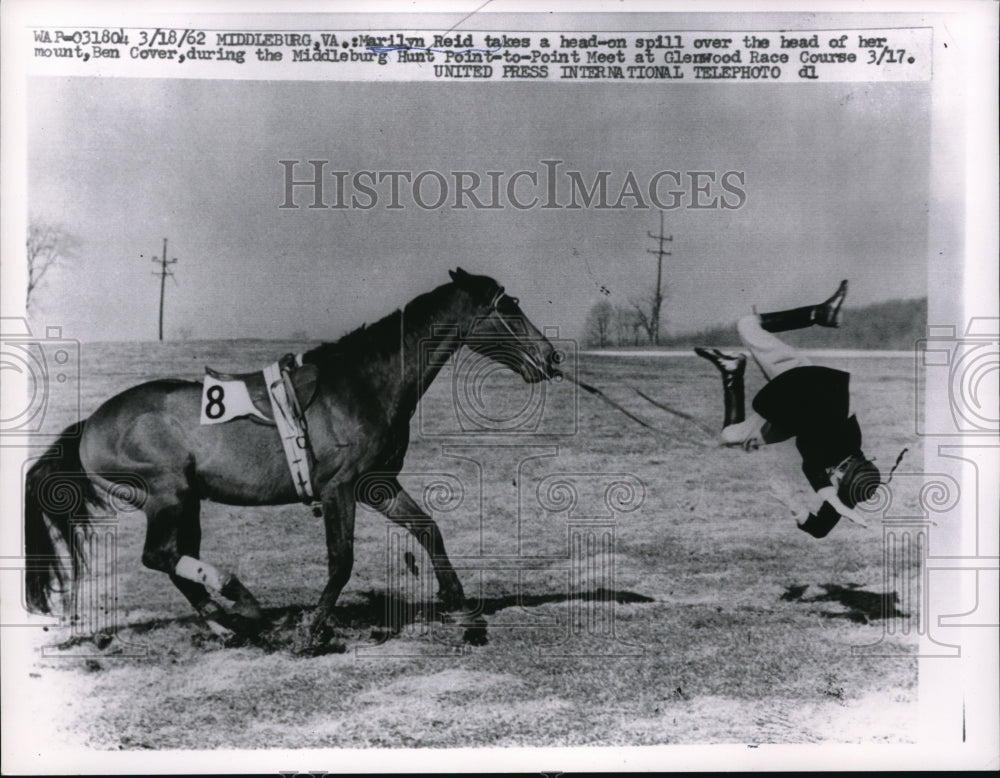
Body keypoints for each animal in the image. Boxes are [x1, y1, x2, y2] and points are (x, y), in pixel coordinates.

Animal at [24, 268, 560, 652]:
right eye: (509, 308)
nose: (552, 357)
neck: (366, 384)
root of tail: (90, 424)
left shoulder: (377, 486)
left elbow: (429, 531)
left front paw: (464, 614)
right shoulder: (340, 489)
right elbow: (341, 561)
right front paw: (311, 630)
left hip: (186, 502)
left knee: (175, 564)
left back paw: (232, 626)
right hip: (166, 496)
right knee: (160, 557)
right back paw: (240, 597)